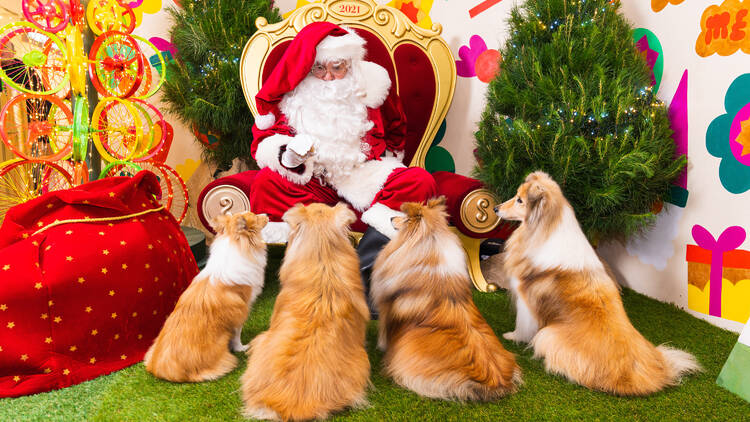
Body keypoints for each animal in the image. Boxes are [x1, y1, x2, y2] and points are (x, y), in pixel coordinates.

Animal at [142, 213, 268, 380]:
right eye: (255, 217)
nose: (266, 215)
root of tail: (161, 369)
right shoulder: (242, 310)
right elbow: (237, 335)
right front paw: (241, 347)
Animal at [496, 171, 704, 396]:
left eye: (520, 200)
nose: (496, 208)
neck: (543, 229)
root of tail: (646, 377)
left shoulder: (525, 300)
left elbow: (522, 326)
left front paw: (511, 336)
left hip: (547, 335)